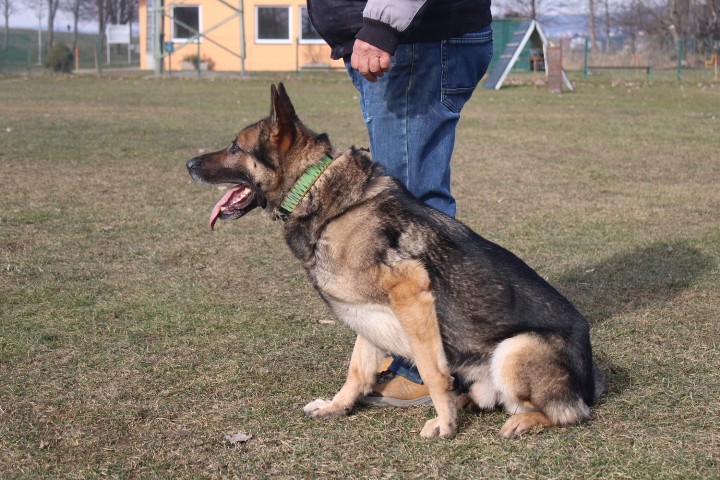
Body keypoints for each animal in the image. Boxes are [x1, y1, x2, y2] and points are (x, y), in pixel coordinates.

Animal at [188, 83, 604, 438]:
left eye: (235, 148)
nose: (188, 163)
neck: (315, 190)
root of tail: (590, 385)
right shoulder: (367, 311)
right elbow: (357, 369)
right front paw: (337, 406)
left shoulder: (410, 292)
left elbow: (432, 370)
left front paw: (445, 424)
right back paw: (467, 401)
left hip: (514, 350)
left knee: (566, 413)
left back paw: (520, 420)